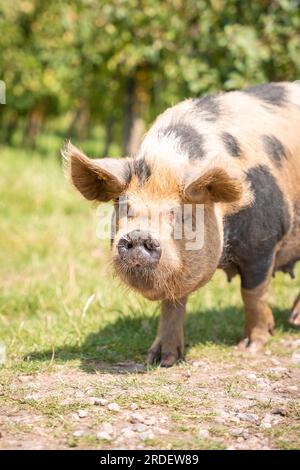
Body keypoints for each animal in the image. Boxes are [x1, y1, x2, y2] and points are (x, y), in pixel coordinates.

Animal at [63, 81, 300, 368]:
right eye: (124, 207)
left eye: (180, 213)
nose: (140, 235)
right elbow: (172, 304)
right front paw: (160, 359)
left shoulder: (264, 241)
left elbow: (253, 293)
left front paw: (249, 347)